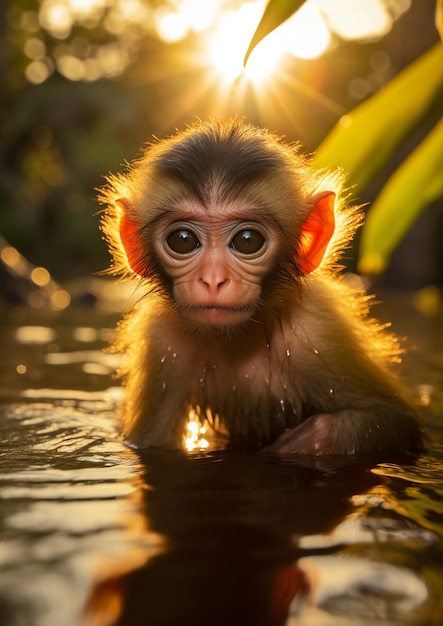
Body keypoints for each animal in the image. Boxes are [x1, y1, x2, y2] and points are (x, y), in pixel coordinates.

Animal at [99, 118, 424, 458]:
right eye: (183, 240)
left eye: (247, 240)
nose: (213, 279)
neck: (238, 341)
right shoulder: (160, 341)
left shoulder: (319, 330)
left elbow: (396, 419)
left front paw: (312, 438)